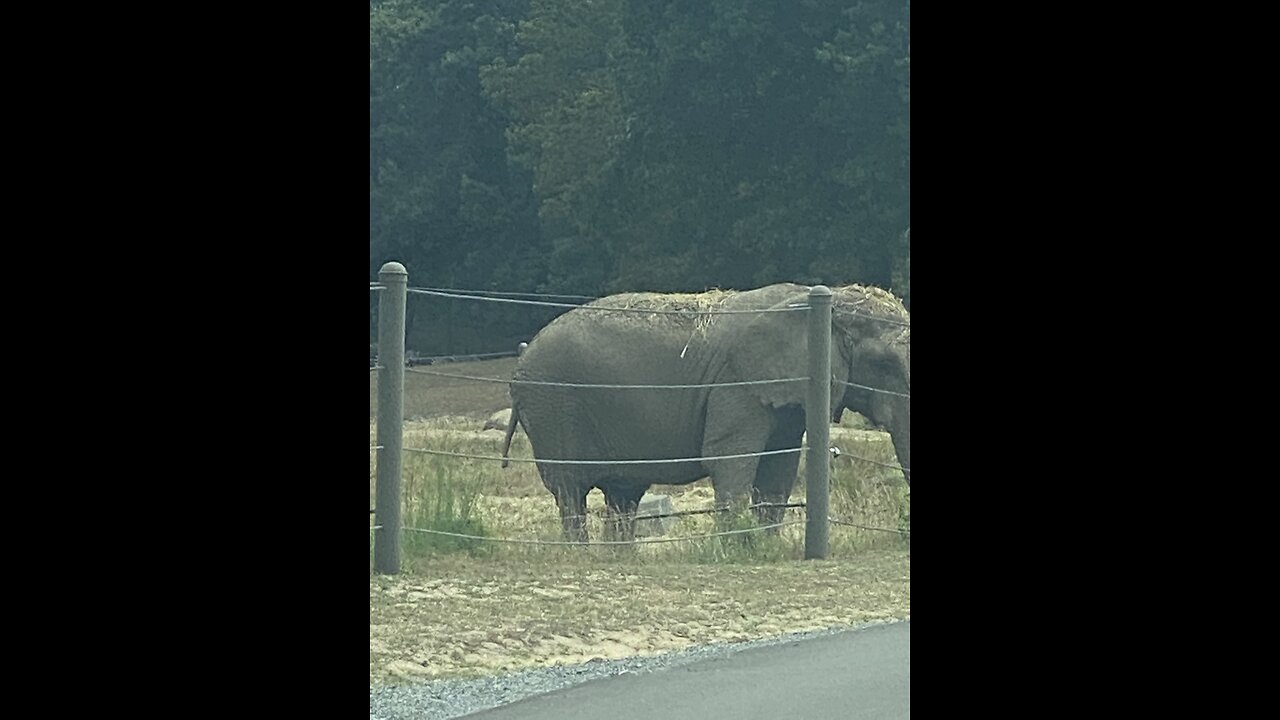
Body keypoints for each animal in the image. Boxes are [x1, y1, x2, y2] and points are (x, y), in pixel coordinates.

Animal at [499, 280, 911, 538]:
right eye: (886, 365)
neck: (825, 299)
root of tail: (521, 360)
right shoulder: (737, 384)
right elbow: (730, 459)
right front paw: (737, 548)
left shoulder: (786, 396)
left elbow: (779, 468)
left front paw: (763, 546)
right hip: (554, 406)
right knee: (570, 490)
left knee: (623, 493)